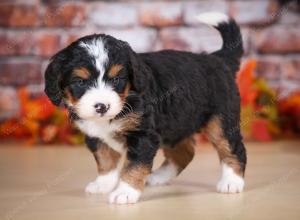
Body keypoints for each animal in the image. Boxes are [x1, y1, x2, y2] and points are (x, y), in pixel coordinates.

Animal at [44, 12, 246, 205]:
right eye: (80, 82)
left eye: (116, 79)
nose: (102, 106)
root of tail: (217, 59)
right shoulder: (96, 135)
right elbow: (105, 160)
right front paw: (103, 184)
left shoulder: (143, 135)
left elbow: (134, 165)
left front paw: (125, 192)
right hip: (176, 124)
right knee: (184, 153)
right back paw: (160, 177)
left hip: (220, 121)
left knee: (233, 148)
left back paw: (232, 182)